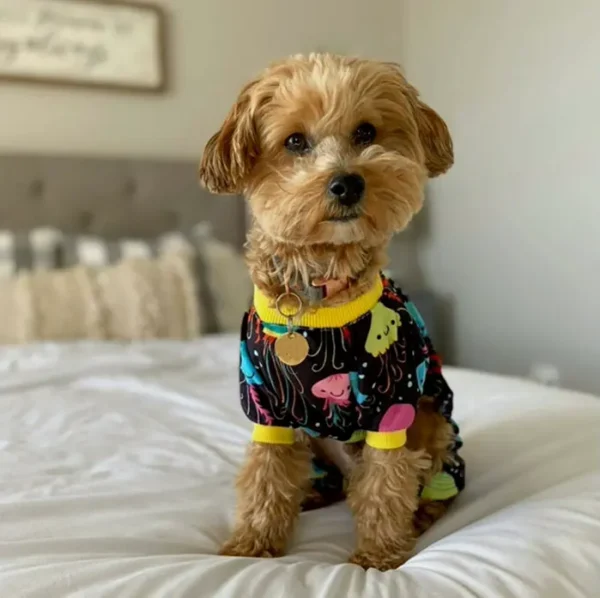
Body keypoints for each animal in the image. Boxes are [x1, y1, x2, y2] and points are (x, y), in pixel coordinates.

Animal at [199, 52, 466, 572]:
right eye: (294, 141)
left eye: (366, 132)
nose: (347, 183)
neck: (319, 290)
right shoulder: (268, 409)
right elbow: (265, 478)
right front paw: (251, 545)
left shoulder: (392, 406)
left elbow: (385, 485)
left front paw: (377, 555)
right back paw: (311, 494)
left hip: (433, 422)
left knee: (421, 482)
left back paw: (420, 515)